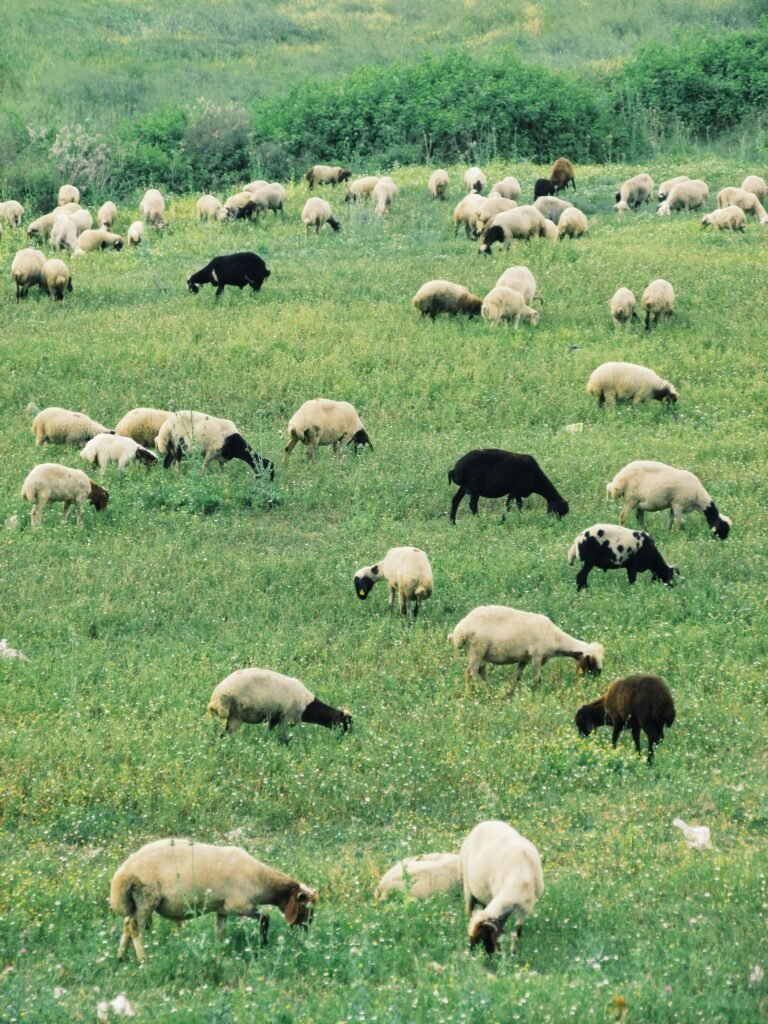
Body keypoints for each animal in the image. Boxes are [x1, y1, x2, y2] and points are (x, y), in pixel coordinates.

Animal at [110, 838, 317, 962]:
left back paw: (121, 958)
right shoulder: (239, 906)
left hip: (136, 902)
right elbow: (265, 918)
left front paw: (218, 953)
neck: (261, 879)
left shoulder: (222, 909)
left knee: (127, 924)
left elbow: (220, 932)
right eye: (304, 906)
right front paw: (263, 944)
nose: (307, 928)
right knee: (135, 926)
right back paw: (143, 960)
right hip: (147, 897)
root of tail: (123, 874)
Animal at [207, 667, 351, 736]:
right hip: (236, 715)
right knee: (226, 735)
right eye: (345, 722)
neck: (307, 706)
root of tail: (215, 698)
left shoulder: (275, 717)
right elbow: (284, 737)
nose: (347, 736)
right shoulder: (287, 718)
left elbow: (269, 731)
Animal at [449, 605, 603, 691]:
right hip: (477, 649)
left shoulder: (524, 658)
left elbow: (517, 677)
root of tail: (459, 631)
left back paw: (490, 692)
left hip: (481, 653)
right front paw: (538, 694)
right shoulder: (536, 656)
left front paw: (510, 693)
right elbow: (537, 679)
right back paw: (471, 695)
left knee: (481, 671)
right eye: (592, 661)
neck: (556, 639)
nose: (598, 677)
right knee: (470, 673)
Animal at [460, 821, 544, 955]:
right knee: (469, 907)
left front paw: (515, 951)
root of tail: (486, 822)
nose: (472, 953)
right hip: (467, 885)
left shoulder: (526, 906)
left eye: (482, 936)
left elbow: (518, 931)